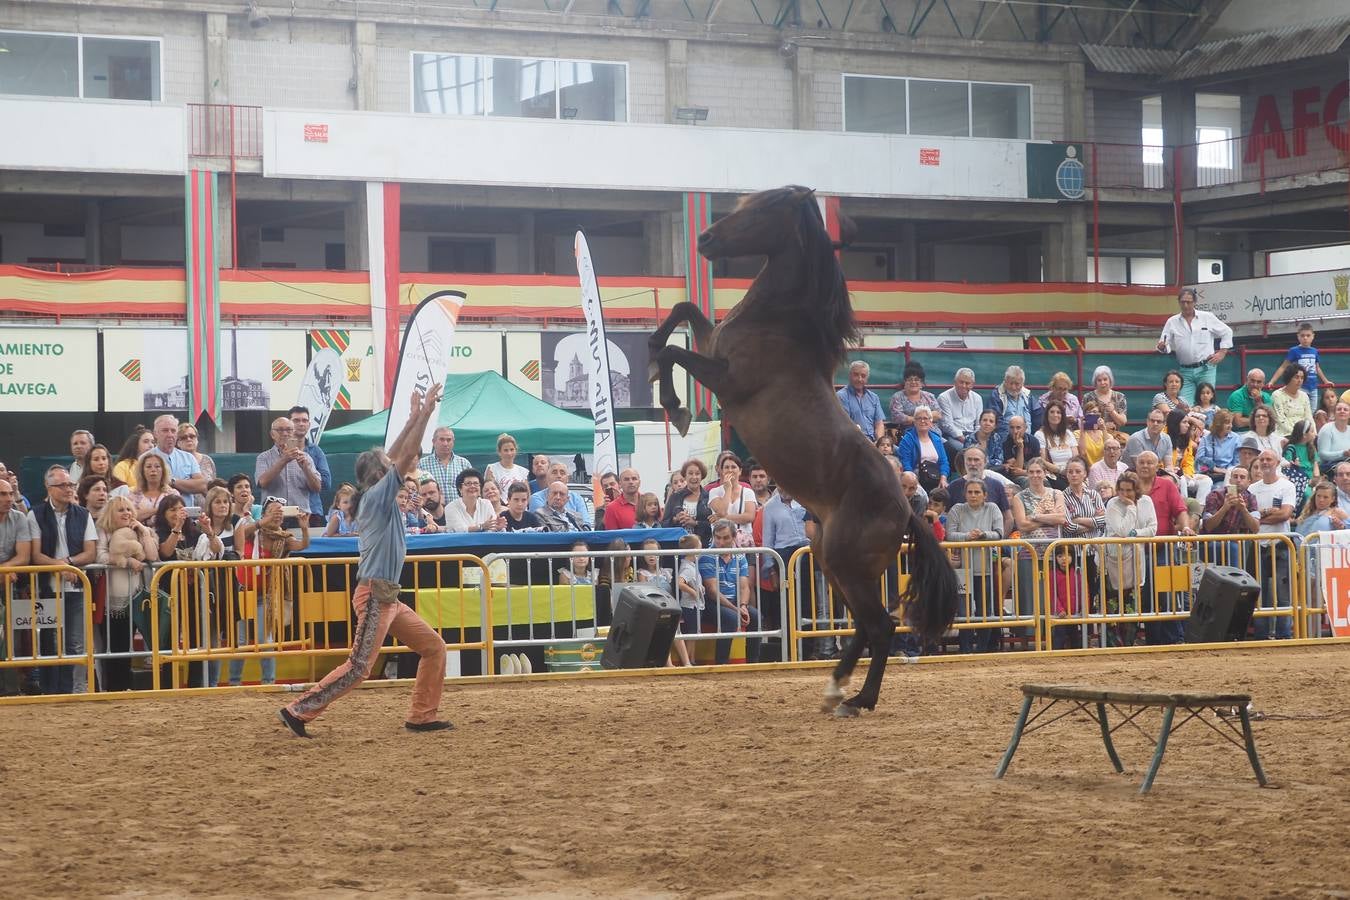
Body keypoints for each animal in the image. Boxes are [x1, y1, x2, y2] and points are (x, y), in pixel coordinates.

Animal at [645, 183, 955, 717]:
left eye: (763, 209)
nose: (705, 239)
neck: (777, 325)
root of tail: (905, 508)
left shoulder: (728, 380)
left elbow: (674, 350)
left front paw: (674, 404)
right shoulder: (713, 345)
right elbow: (684, 310)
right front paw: (654, 363)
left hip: (847, 565)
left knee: (882, 626)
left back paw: (857, 699)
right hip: (829, 563)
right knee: (866, 626)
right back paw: (836, 689)